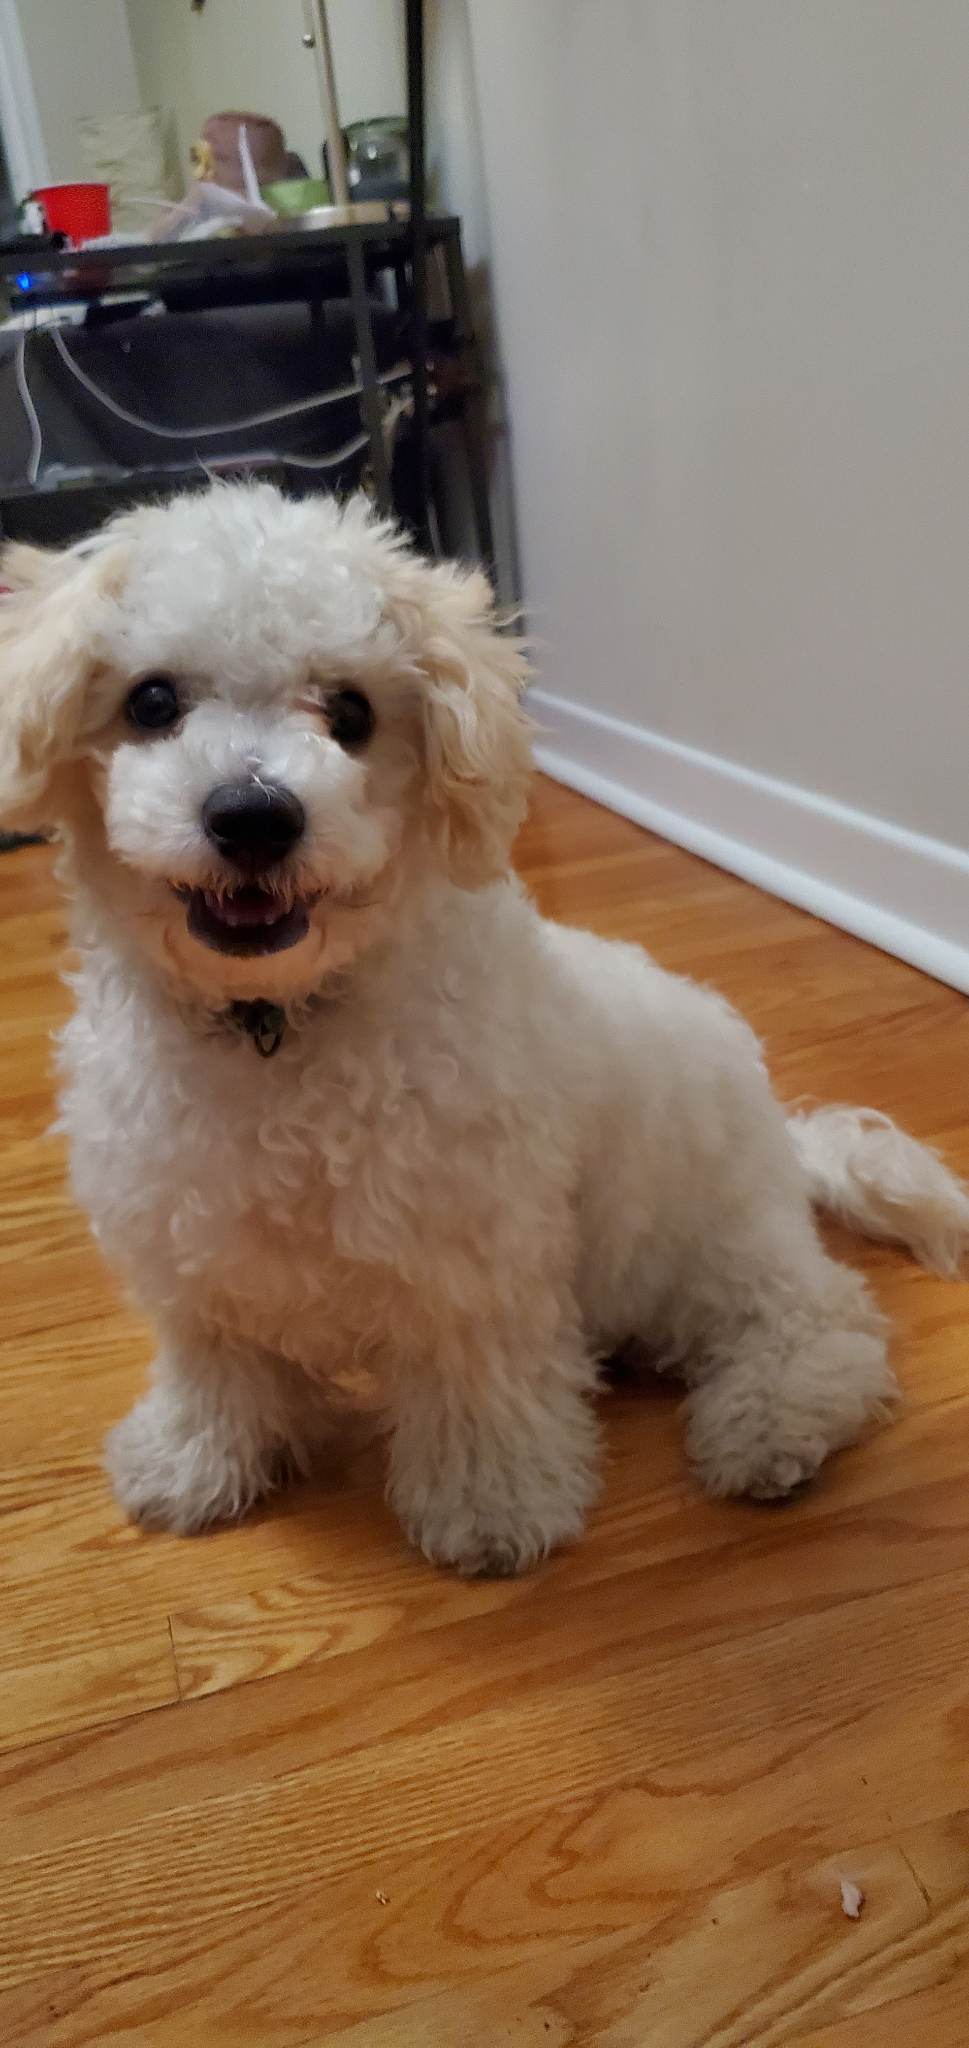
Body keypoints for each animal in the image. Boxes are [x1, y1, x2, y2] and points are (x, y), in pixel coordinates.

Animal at [1, 481, 966, 1575]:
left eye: (351, 713)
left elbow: (477, 1389)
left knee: (820, 1320)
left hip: (705, 1245)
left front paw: (491, 1507)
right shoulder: (195, 1246)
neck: (281, 1024)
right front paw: (193, 1461)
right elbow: (217, 1367)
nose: (252, 815)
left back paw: (768, 1426)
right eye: (153, 701)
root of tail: (783, 1138)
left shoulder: (472, 1260)